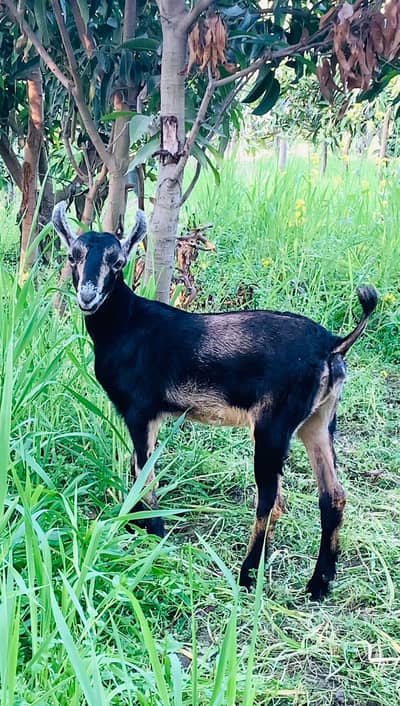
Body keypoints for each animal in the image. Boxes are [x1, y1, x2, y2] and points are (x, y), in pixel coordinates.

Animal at [52, 201, 378, 599]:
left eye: (118, 262)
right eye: (72, 256)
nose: (88, 296)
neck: (128, 325)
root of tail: (332, 344)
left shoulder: (141, 411)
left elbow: (145, 474)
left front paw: (153, 535)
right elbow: (136, 469)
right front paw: (134, 527)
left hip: (273, 426)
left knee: (272, 501)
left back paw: (247, 576)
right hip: (318, 420)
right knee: (333, 495)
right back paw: (319, 583)